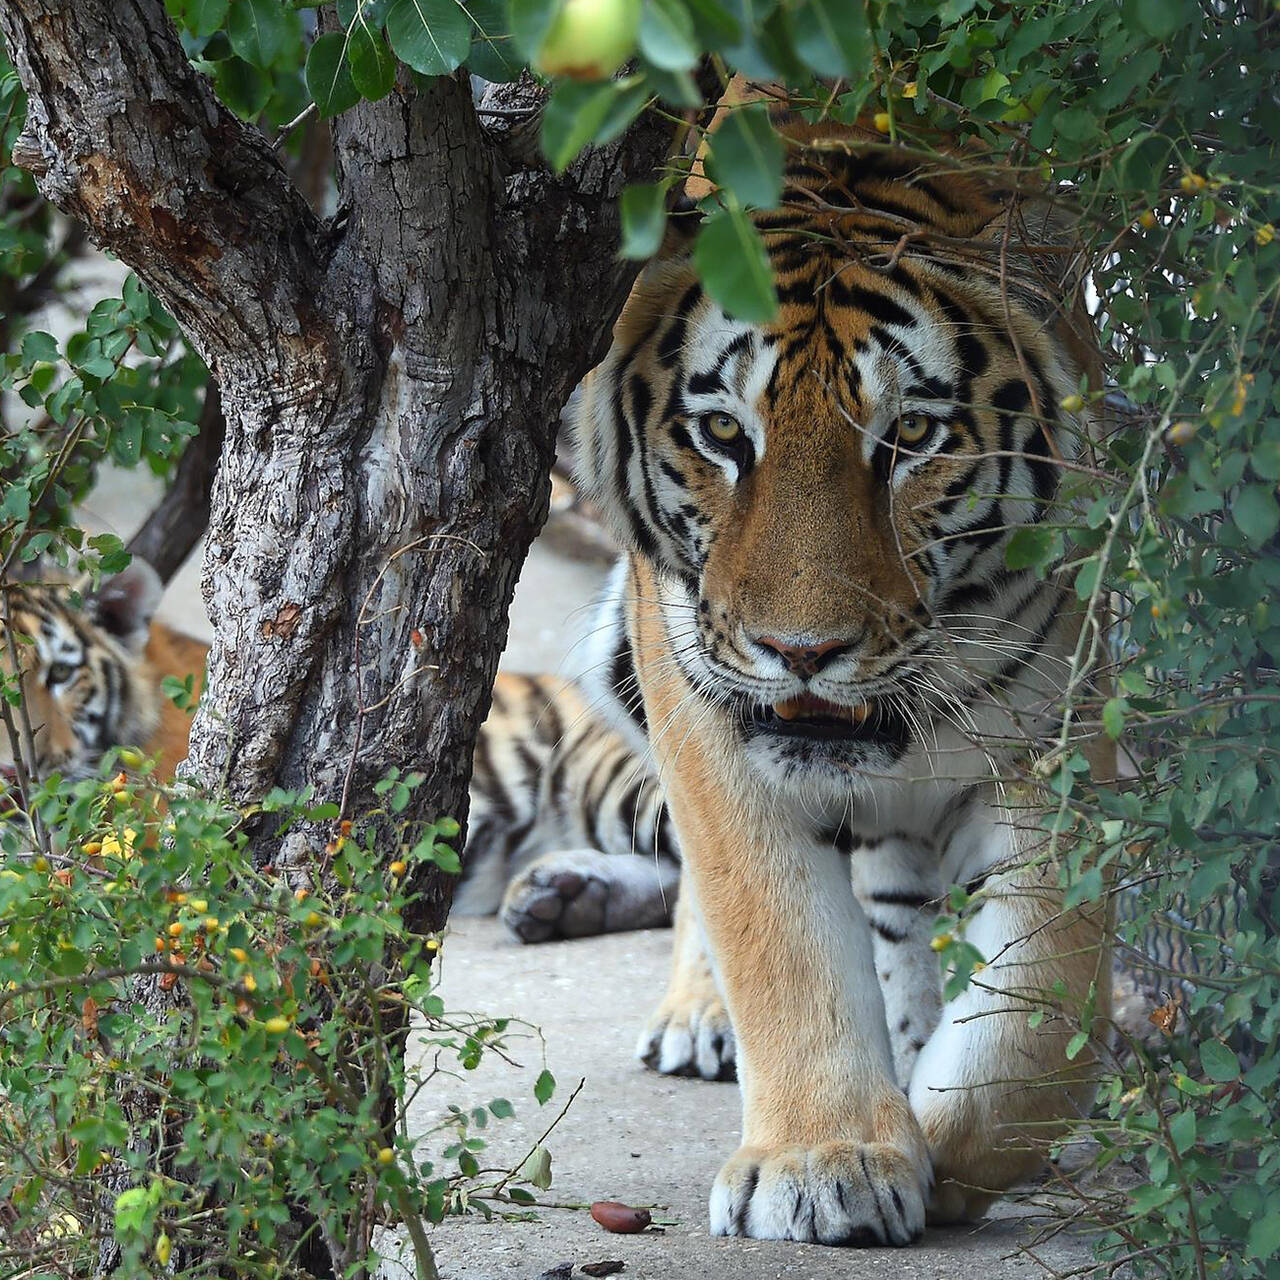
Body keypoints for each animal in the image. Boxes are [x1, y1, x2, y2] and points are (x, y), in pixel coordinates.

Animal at [465, 104, 1116, 1244]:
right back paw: (689, 1004)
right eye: (724, 432)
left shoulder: (1057, 731)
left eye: (911, 435)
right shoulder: (711, 717)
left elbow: (1043, 991)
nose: (802, 652)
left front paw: (945, 1143)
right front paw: (828, 1164)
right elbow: (777, 936)